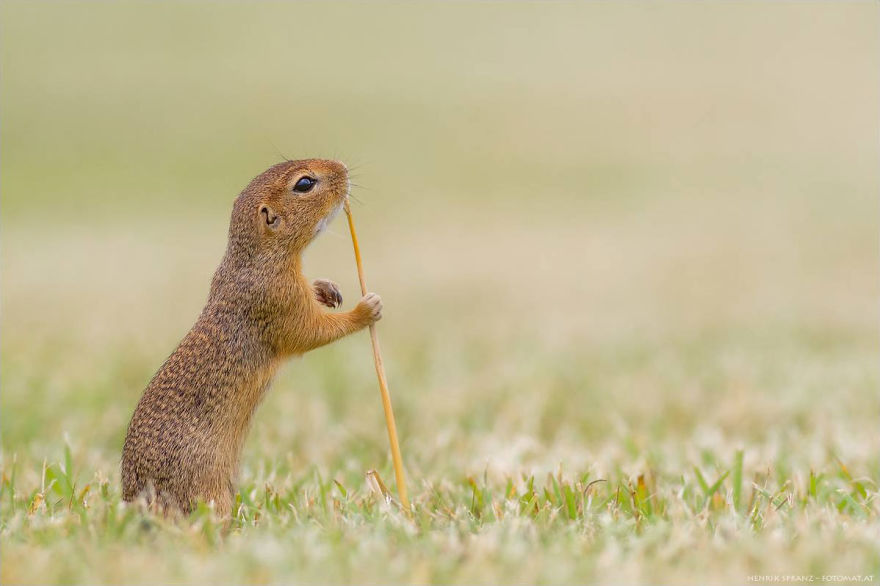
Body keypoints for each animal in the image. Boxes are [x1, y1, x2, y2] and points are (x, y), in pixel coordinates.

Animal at [121, 159, 382, 517]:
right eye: (304, 184)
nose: (343, 167)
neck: (255, 257)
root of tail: (134, 503)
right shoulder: (278, 299)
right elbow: (310, 331)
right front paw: (366, 308)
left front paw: (327, 289)